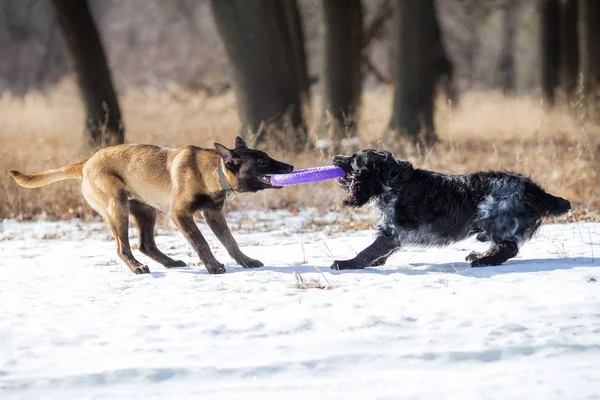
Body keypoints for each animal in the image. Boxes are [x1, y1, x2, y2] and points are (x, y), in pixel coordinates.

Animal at [8, 138, 290, 276]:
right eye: (262, 162)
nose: (290, 167)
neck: (211, 171)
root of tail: (86, 163)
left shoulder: (213, 214)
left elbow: (231, 242)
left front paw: (246, 261)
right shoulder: (181, 214)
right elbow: (202, 243)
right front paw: (213, 266)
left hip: (145, 210)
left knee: (146, 244)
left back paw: (170, 263)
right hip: (117, 208)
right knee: (123, 247)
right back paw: (137, 268)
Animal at [332, 149, 572, 268]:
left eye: (353, 159)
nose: (334, 157)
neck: (392, 181)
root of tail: (535, 190)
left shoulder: (392, 233)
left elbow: (367, 252)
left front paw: (345, 263)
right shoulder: (392, 235)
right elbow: (377, 253)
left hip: (492, 215)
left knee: (509, 249)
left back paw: (484, 261)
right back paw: (479, 255)